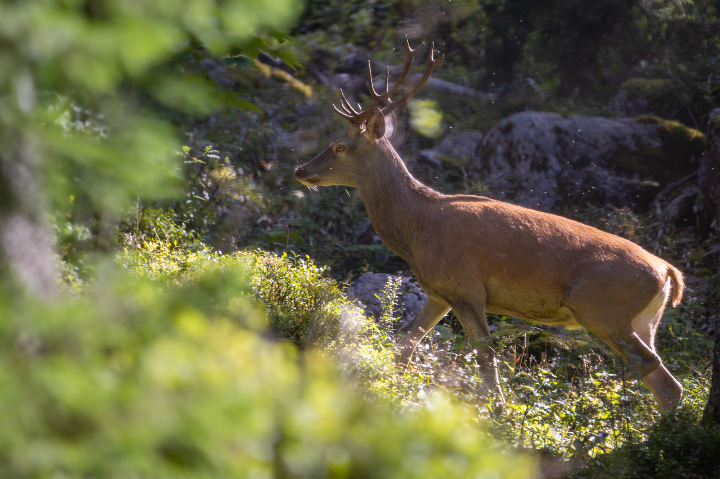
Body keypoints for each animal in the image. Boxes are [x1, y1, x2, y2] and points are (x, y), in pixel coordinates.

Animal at [294, 39, 685, 411]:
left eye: (339, 146)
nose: (300, 169)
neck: (418, 228)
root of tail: (669, 273)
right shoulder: (439, 292)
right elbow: (405, 345)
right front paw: (387, 390)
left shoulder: (467, 289)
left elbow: (486, 360)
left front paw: (497, 415)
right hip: (644, 320)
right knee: (665, 380)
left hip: (602, 309)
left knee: (653, 369)